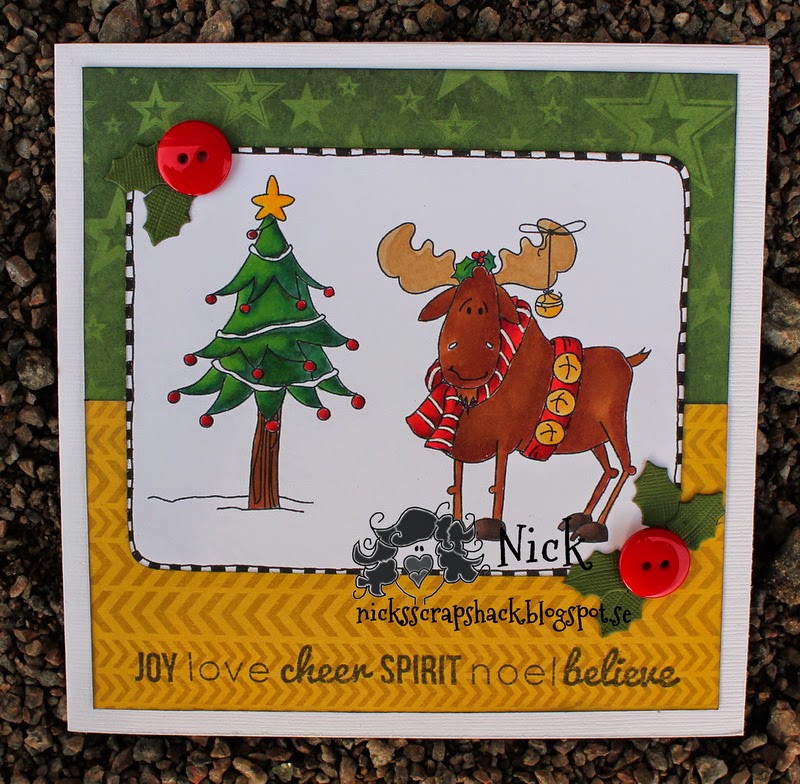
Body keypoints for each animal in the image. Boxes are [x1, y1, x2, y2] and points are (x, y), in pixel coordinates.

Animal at [377, 220, 649, 544]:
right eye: (454, 301)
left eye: (496, 302)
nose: (467, 358)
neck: (474, 397)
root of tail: (628, 359)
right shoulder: (460, 441)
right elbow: (458, 480)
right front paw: (455, 524)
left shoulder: (505, 439)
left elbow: (499, 481)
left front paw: (492, 526)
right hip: (595, 436)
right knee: (609, 470)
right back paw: (580, 519)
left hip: (615, 422)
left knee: (627, 466)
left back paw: (596, 527)